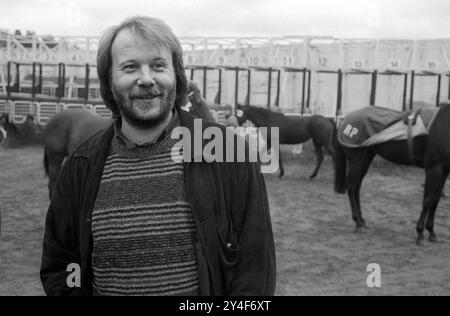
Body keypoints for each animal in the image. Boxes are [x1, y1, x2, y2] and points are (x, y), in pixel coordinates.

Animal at [334, 102, 450, 243]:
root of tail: (346, 119)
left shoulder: (444, 170)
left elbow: (435, 200)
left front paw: (432, 232)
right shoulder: (434, 169)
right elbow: (428, 200)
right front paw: (420, 233)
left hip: (366, 156)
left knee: (357, 186)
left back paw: (362, 221)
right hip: (356, 157)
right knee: (351, 185)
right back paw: (358, 223)